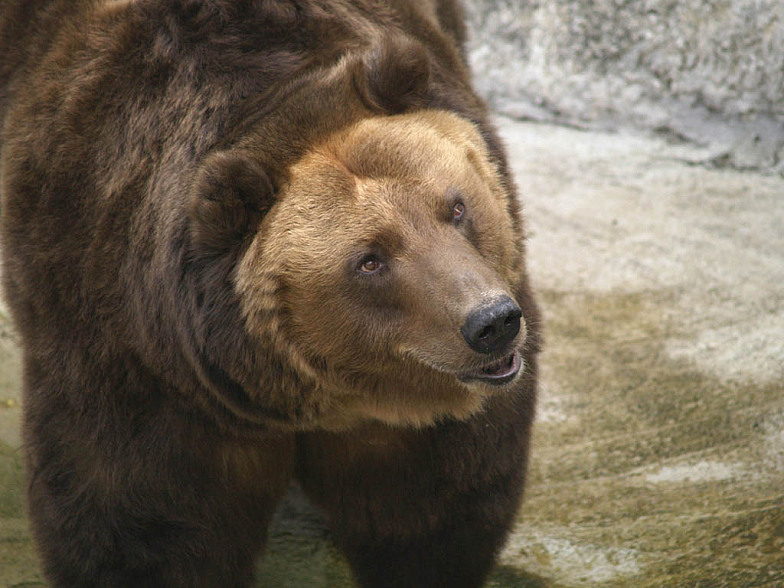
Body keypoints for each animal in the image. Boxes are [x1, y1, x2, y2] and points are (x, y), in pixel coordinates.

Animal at [0, 1, 540, 588]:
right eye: (370, 259)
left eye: (456, 206)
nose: (491, 322)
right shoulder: (139, 362)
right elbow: (141, 522)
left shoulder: (416, 413)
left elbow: (433, 505)